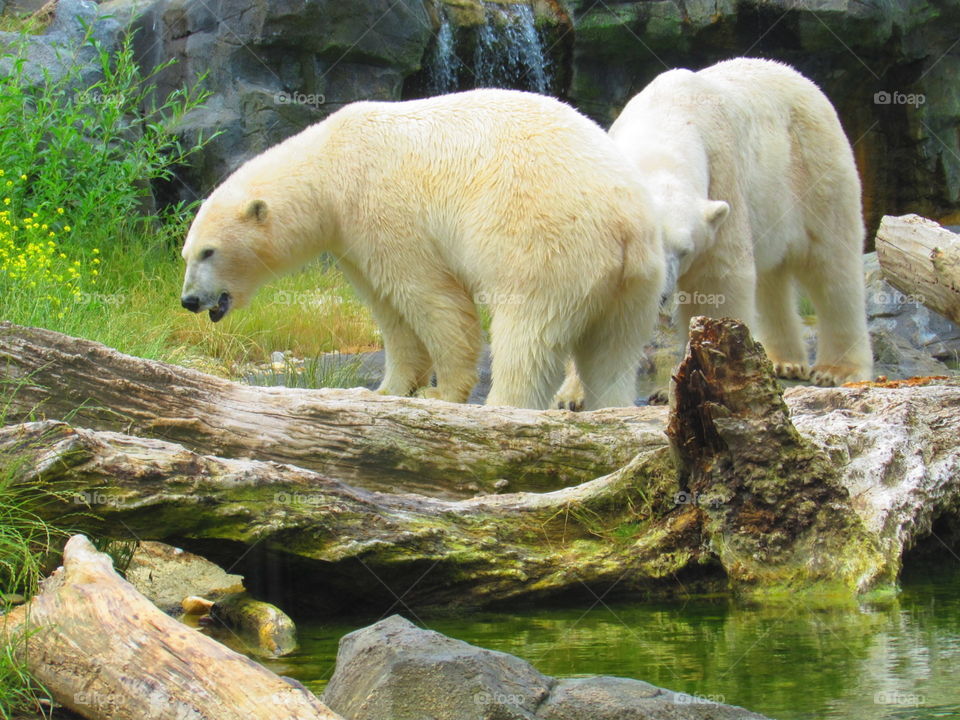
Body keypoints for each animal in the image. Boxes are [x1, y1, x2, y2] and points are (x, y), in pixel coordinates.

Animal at [180, 88, 666, 410]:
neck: (330, 162)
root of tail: (625, 222)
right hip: (636, 283)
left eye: (208, 252)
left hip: (546, 246)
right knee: (613, 353)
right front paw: (390, 388)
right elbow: (388, 308)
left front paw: (442, 391)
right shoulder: (352, 237)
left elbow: (429, 296)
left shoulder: (383, 207)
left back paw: (501, 407)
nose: (189, 300)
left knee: (526, 334)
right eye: (187, 254)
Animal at [556, 58, 872, 409]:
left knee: (832, 266)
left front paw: (682, 387)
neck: (663, 122)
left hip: (813, 166)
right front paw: (572, 396)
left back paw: (837, 370)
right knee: (771, 278)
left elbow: (716, 282)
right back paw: (784, 361)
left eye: (684, 250)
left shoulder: (722, 172)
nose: (660, 294)